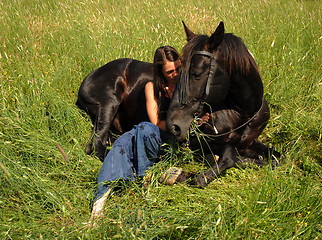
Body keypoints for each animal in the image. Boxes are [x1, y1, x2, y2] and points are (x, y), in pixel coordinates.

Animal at [166, 21, 282, 188]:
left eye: (196, 74)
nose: (173, 127)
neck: (243, 113)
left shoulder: (251, 142)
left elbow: (277, 159)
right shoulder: (197, 141)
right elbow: (229, 154)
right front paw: (194, 176)